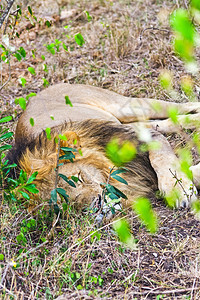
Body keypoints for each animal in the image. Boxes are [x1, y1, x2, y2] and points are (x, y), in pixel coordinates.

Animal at [7, 83, 200, 212]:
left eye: (79, 177)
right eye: (63, 200)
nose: (96, 205)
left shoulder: (145, 139)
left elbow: (162, 159)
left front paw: (178, 189)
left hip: (127, 107)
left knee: (180, 107)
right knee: (166, 122)